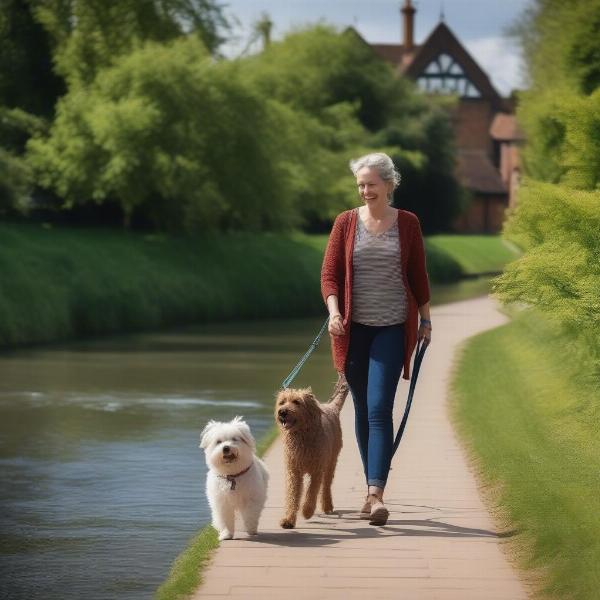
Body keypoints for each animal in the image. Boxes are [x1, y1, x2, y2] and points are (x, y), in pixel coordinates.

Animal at [274, 378, 350, 528]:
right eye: (282, 402)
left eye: (297, 402)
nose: (282, 412)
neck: (301, 436)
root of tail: (331, 407)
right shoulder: (293, 471)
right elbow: (292, 495)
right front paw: (288, 519)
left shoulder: (317, 471)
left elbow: (311, 493)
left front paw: (307, 511)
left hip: (331, 462)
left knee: (326, 486)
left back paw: (327, 506)